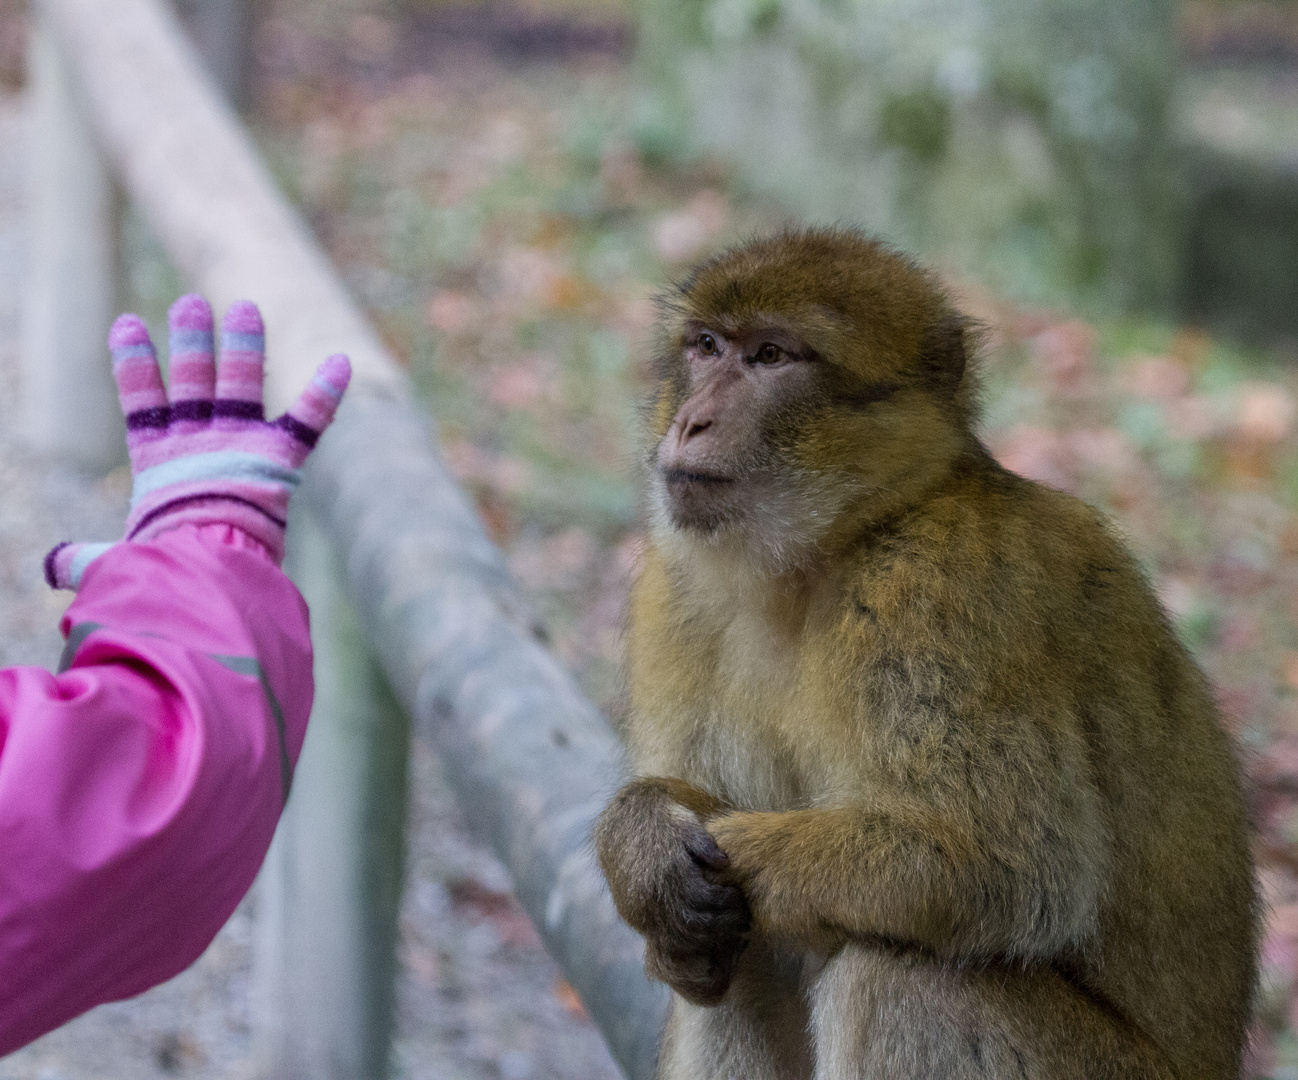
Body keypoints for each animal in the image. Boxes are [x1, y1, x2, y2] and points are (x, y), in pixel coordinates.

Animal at [594, 229, 1256, 1080]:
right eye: (706, 347)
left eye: (772, 356)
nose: (693, 423)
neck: (830, 549)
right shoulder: (673, 595)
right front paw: (642, 848)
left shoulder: (935, 594)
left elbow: (1008, 867)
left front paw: (716, 852)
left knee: (900, 977)